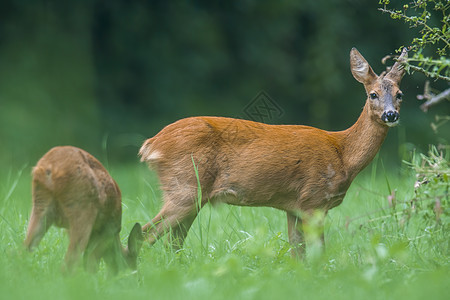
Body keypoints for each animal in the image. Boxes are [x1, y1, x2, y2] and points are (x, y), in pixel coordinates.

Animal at [24, 146, 142, 274]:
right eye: (131, 266)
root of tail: (51, 167)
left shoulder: (71, 231)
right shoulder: (107, 232)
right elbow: (91, 264)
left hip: (40, 205)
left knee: (24, 250)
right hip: (82, 209)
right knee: (69, 262)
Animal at [138, 48, 408, 256]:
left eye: (399, 94)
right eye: (373, 94)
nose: (390, 115)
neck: (343, 153)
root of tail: (151, 144)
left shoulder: (294, 206)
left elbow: (297, 251)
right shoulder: (314, 199)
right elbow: (318, 250)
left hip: (192, 195)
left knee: (172, 243)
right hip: (185, 187)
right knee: (145, 233)